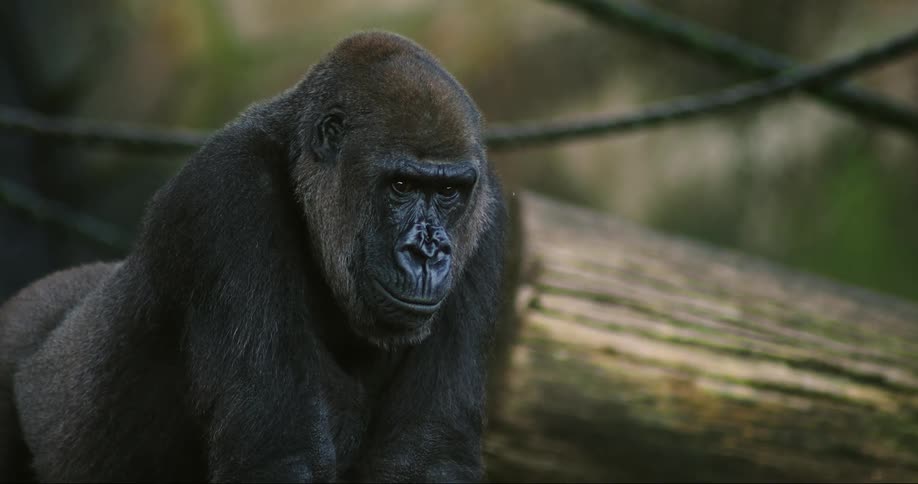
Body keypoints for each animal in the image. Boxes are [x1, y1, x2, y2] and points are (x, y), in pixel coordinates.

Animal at [0, 30, 506, 482]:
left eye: (448, 192)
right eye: (401, 185)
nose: (428, 252)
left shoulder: (487, 213)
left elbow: (425, 459)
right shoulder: (228, 193)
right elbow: (281, 458)